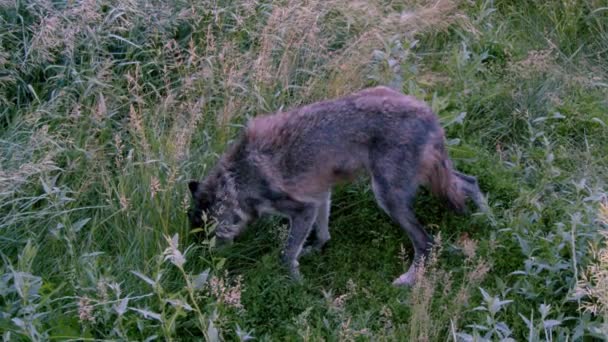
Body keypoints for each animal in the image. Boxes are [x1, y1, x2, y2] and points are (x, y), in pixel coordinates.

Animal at [188, 86, 486, 286]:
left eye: (208, 235)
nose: (211, 264)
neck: (237, 179)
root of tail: (427, 112)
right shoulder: (320, 197)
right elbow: (322, 235)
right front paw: (313, 252)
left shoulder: (303, 209)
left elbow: (286, 255)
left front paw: (298, 286)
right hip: (427, 179)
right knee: (471, 182)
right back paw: (488, 221)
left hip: (388, 197)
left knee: (427, 242)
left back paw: (407, 280)